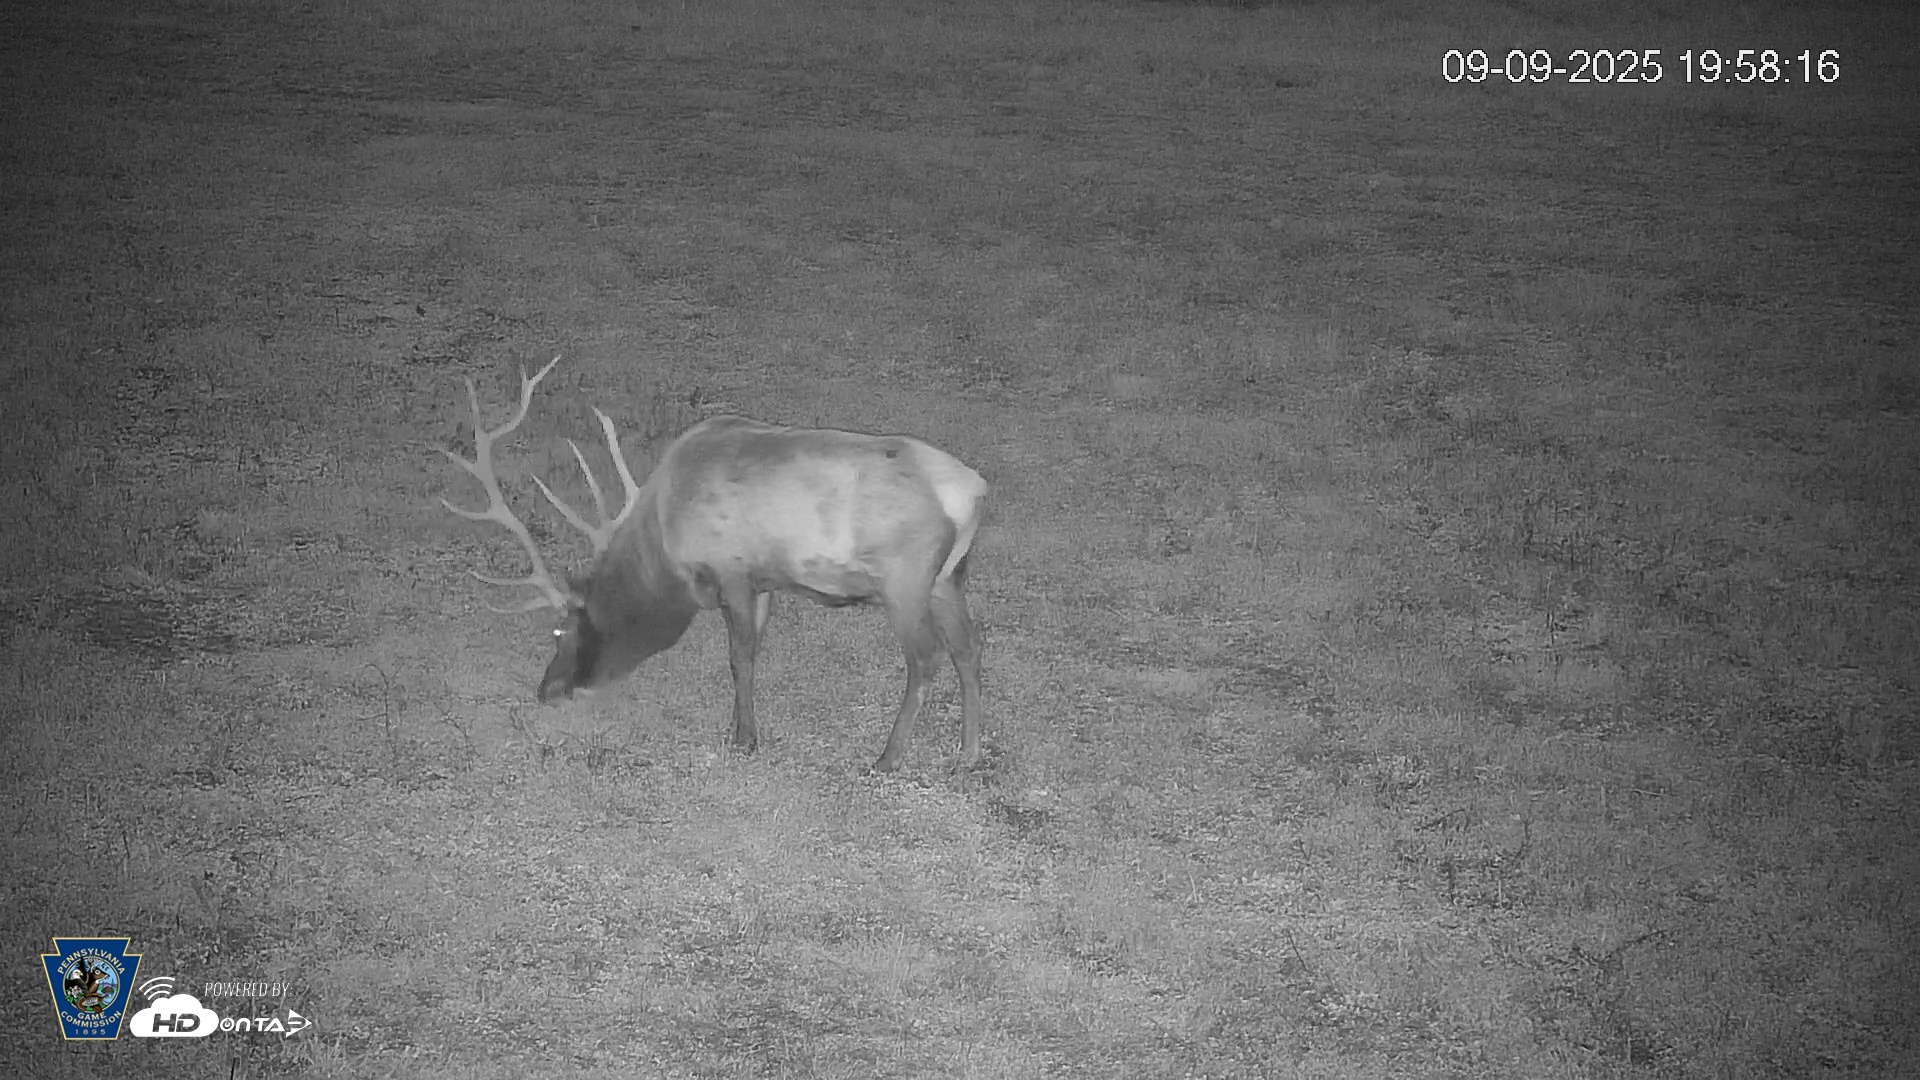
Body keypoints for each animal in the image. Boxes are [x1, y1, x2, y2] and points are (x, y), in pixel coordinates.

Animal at [438, 356, 986, 773]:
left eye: (563, 631)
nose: (546, 689)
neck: (666, 552)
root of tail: (973, 492)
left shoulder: (734, 571)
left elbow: (740, 656)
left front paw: (744, 737)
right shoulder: (763, 581)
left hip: (904, 578)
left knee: (927, 656)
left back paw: (887, 758)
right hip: (947, 577)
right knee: (968, 648)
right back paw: (969, 753)